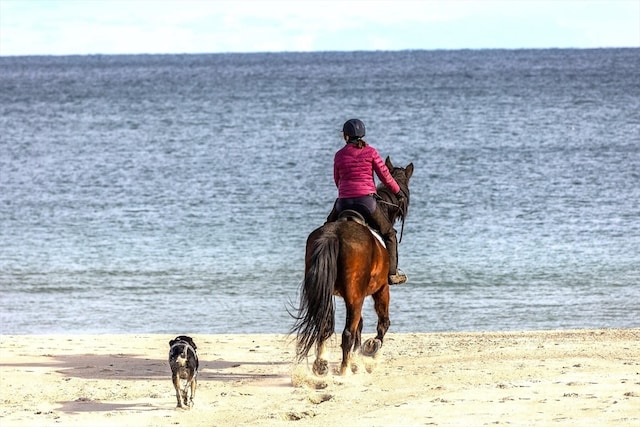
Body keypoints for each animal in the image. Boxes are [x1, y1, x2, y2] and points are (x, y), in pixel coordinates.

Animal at [292, 156, 416, 374]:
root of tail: (334, 234)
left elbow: (360, 325)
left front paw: (358, 355)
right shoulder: (381, 289)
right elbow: (383, 323)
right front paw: (372, 348)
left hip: (326, 292)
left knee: (325, 325)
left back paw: (322, 363)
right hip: (355, 296)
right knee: (347, 332)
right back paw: (344, 371)